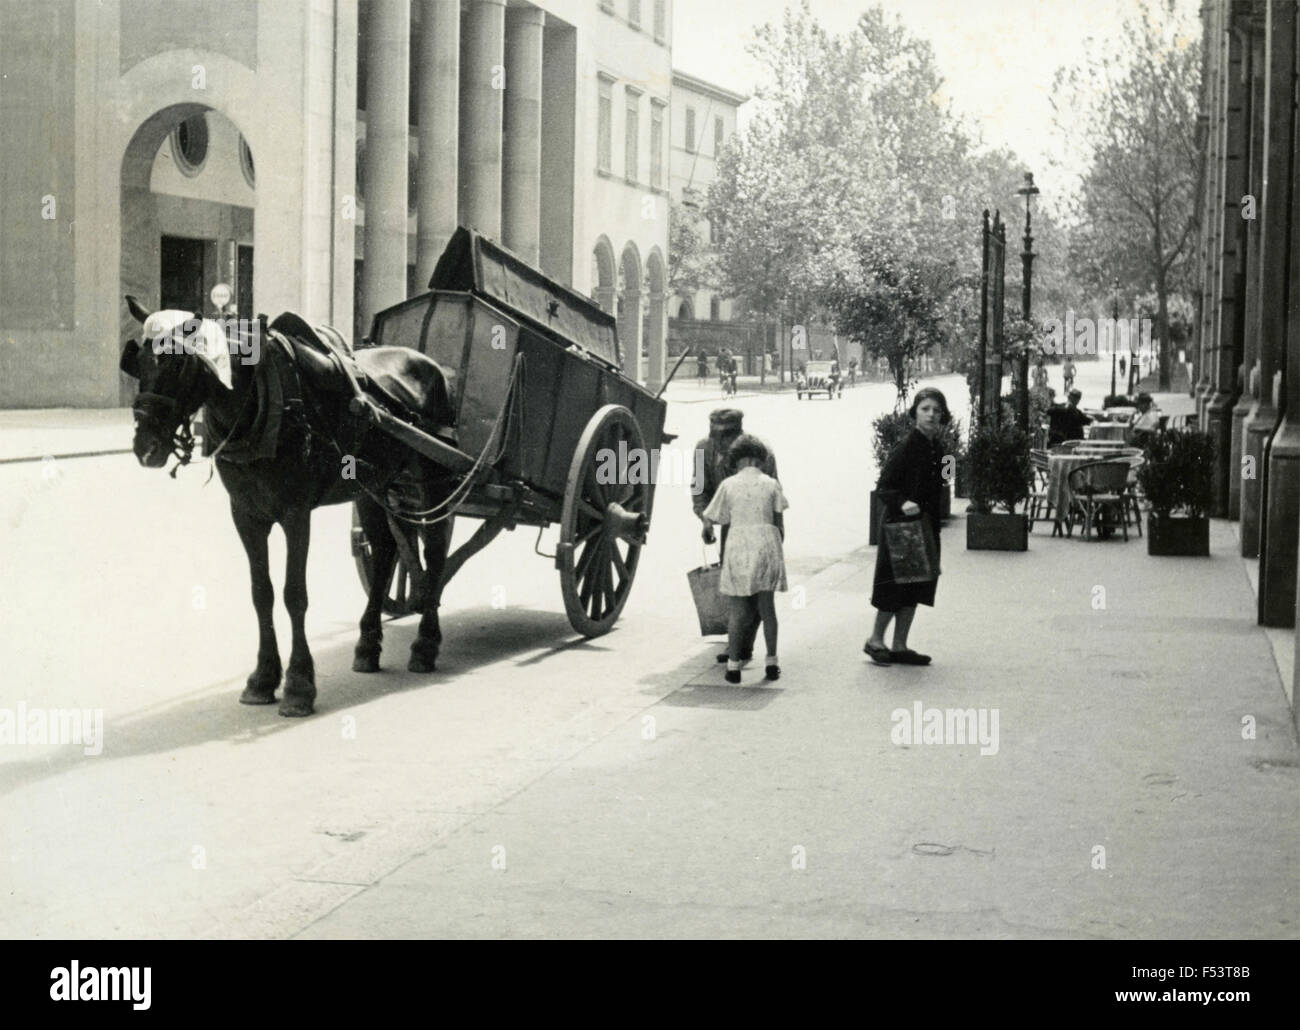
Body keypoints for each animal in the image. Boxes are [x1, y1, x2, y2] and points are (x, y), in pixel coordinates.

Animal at [116, 295, 460, 717]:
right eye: (138, 361)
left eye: (179, 364)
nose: (146, 447)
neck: (259, 404)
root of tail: (435, 367)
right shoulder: (246, 515)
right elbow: (261, 593)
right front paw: (263, 677)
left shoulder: (296, 514)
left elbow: (294, 595)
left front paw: (299, 685)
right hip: (374, 485)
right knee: (384, 552)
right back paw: (368, 643)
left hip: (434, 479)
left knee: (435, 549)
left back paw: (426, 642)